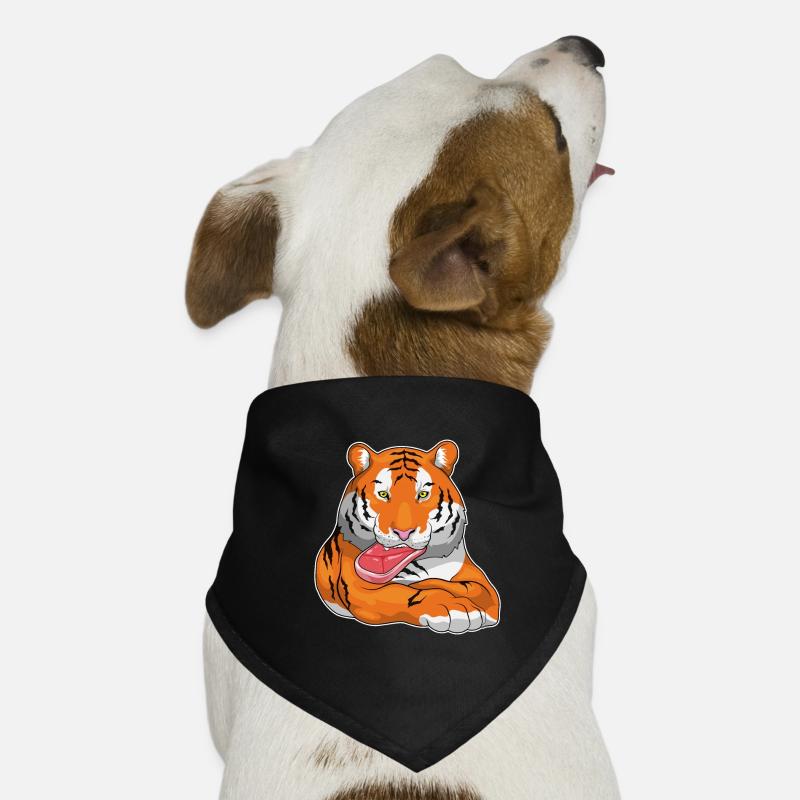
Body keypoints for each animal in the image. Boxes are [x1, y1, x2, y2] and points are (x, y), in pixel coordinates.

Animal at [314, 440, 500, 634]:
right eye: (383, 494)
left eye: (423, 494)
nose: (403, 532)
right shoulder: (362, 588)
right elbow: (410, 594)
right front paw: (458, 610)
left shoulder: (478, 579)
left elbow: (477, 590)